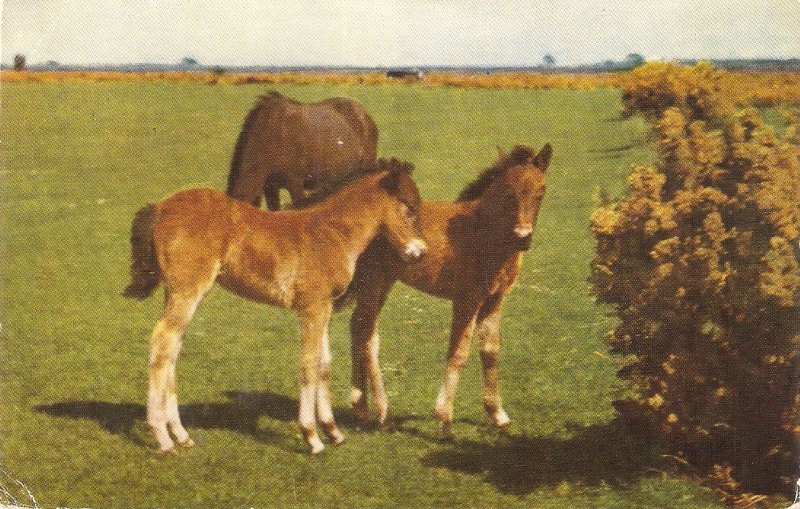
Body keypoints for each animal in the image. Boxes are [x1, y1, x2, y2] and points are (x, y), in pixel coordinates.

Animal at [120, 159, 424, 452]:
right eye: (409, 207)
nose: (420, 253)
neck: (330, 233)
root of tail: (160, 208)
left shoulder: (323, 308)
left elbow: (324, 364)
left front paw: (333, 432)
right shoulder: (312, 307)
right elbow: (309, 364)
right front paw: (312, 437)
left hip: (179, 292)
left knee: (173, 347)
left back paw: (181, 435)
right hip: (188, 292)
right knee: (162, 342)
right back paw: (163, 438)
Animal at [346, 145, 552, 434]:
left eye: (541, 191)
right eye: (509, 193)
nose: (523, 237)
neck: (482, 233)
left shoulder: (495, 299)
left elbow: (491, 350)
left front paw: (497, 414)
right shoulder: (467, 299)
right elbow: (459, 352)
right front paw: (444, 417)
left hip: (384, 281)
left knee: (358, 326)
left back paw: (360, 409)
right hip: (373, 281)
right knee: (366, 333)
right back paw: (379, 410)